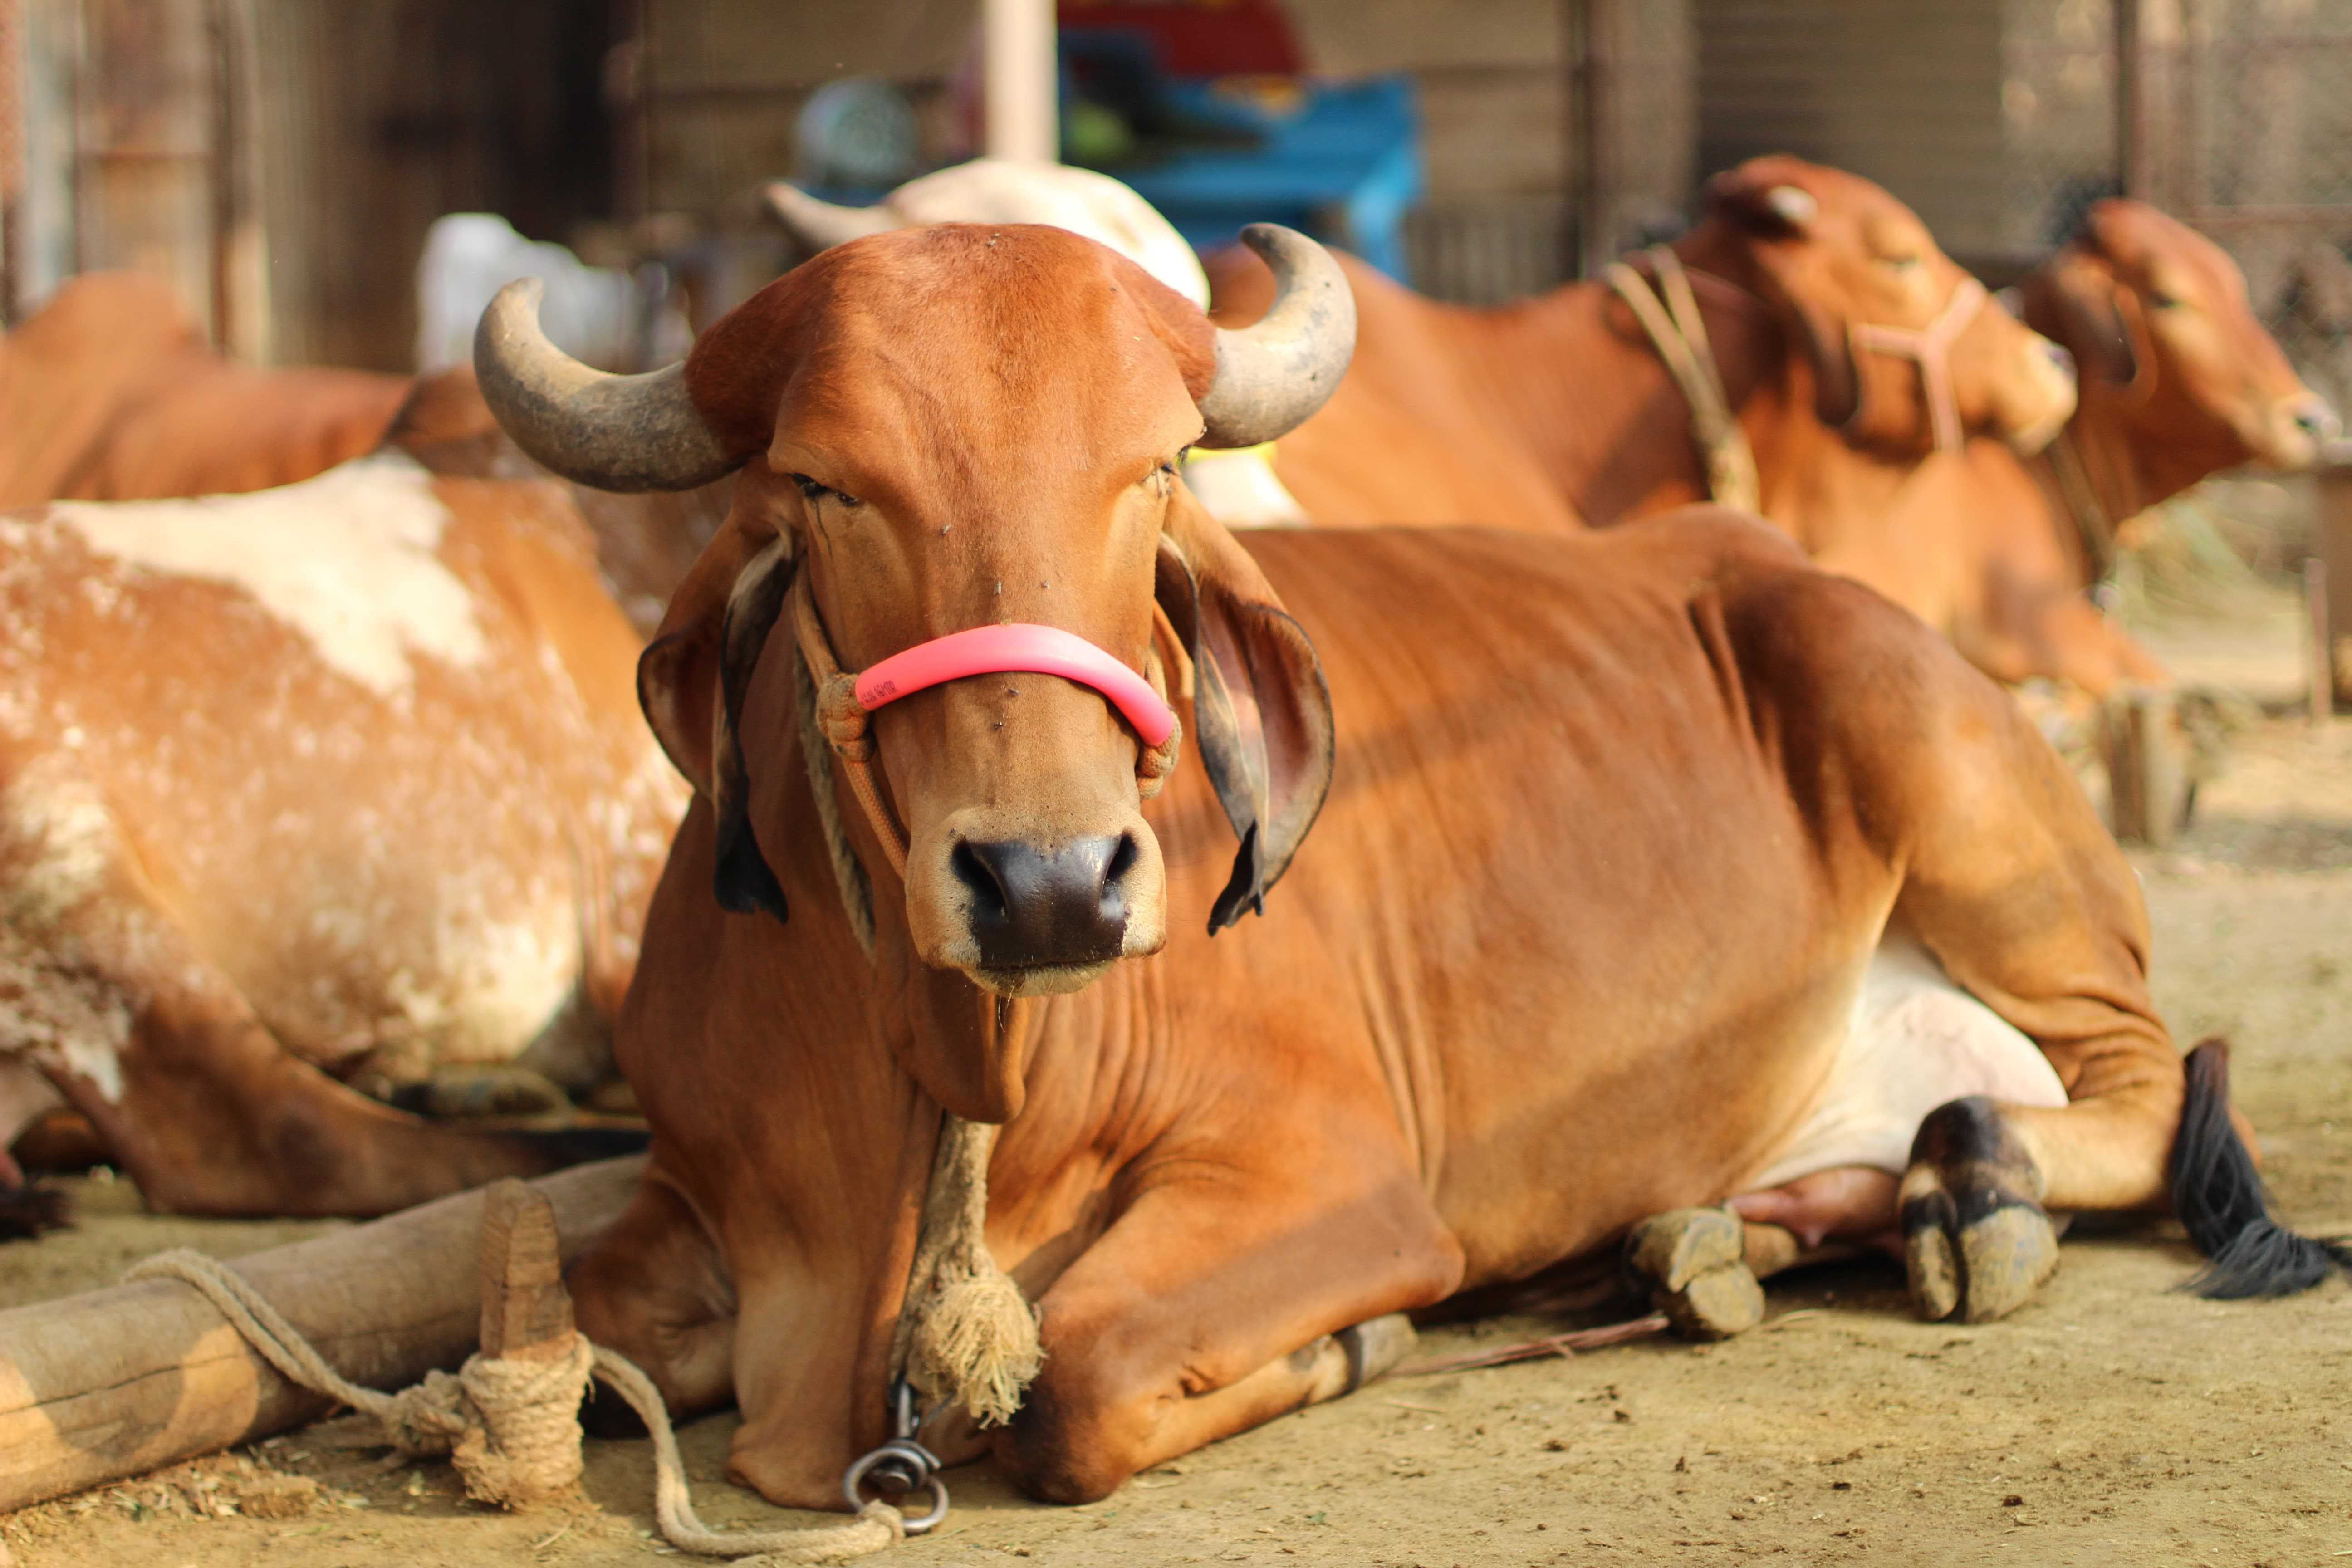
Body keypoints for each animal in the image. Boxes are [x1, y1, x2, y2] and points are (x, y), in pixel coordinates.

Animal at [469, 221, 2334, 1514]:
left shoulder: (1332, 1177)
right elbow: (567, 1321)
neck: (933, 1084)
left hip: (1971, 812)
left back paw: (1974, 1189)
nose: (1054, 883)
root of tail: (1782, 569)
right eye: (822, 485)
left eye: (1156, 468)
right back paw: (1721, 1237)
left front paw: (1350, 1346)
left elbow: (1083, 1377)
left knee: (2137, 1086)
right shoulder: (687, 1190)